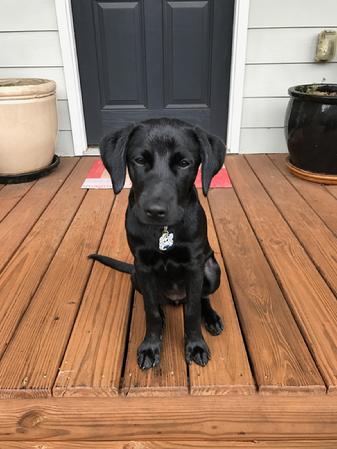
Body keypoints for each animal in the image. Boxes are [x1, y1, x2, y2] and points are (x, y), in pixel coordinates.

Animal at [89, 117, 226, 370]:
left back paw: (211, 317)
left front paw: (196, 345)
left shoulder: (195, 266)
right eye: (140, 160)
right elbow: (150, 309)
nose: (155, 211)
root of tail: (176, 299)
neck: (163, 232)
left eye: (184, 163)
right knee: (157, 303)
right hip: (135, 277)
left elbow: (193, 311)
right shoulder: (143, 267)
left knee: (202, 297)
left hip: (212, 269)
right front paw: (150, 347)